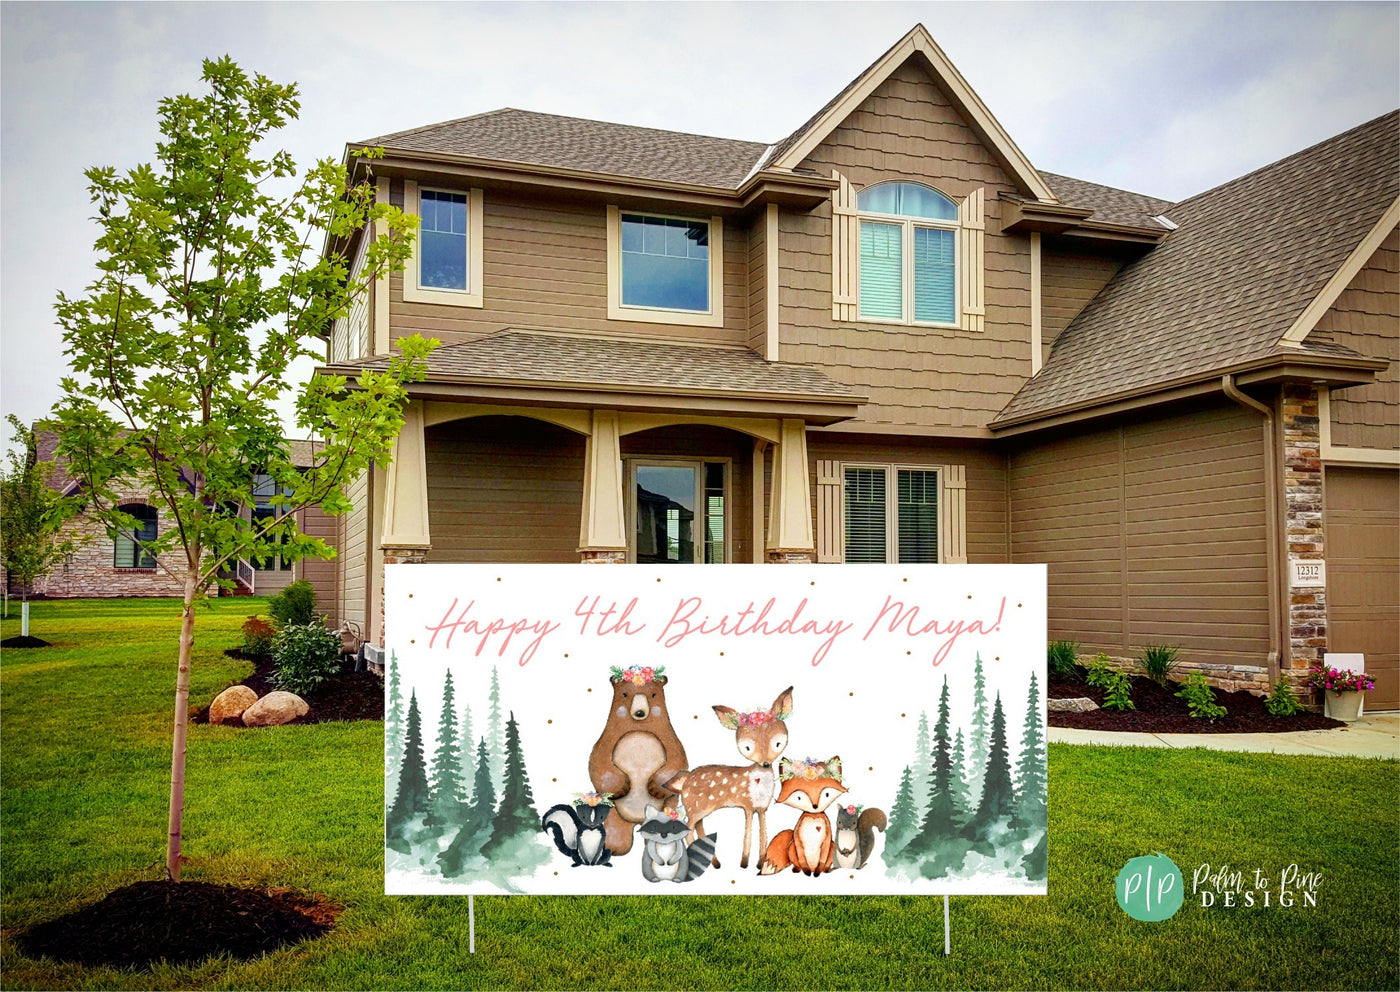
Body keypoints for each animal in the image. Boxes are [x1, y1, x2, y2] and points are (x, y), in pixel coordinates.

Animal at [658, 688, 789, 867]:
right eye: (747, 747)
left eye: (778, 743)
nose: (765, 763)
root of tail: (686, 779)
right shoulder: (747, 805)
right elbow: (748, 833)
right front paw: (744, 863)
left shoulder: (762, 808)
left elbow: (763, 834)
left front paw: (760, 863)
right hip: (697, 806)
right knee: (689, 826)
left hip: (696, 808)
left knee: (697, 826)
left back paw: (714, 861)